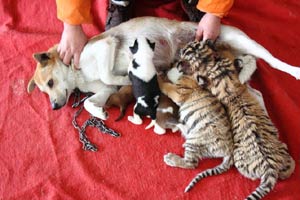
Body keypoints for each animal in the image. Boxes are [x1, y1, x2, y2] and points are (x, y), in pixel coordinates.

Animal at [27, 16, 298, 119]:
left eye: (50, 82)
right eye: (44, 91)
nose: (55, 107)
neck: (79, 74)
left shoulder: (106, 45)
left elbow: (109, 74)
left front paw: (126, 78)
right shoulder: (105, 89)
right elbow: (89, 101)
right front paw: (99, 112)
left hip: (243, 40)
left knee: (273, 60)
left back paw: (294, 71)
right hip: (233, 82)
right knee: (257, 93)